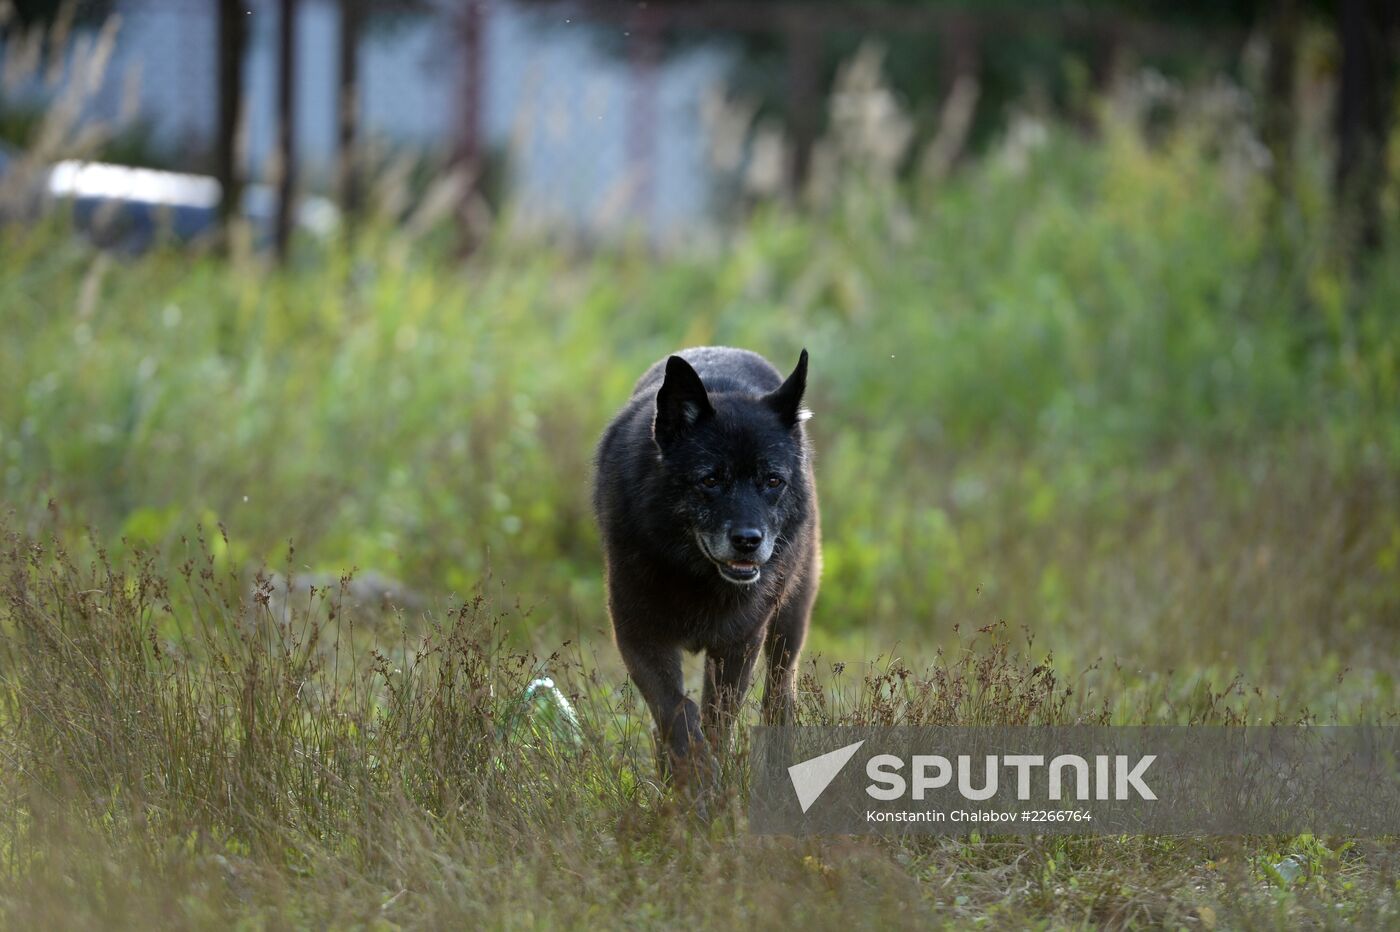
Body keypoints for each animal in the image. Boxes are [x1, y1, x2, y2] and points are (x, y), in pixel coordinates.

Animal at [590, 344, 817, 772]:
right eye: (710, 479)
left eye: (772, 480)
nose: (748, 541)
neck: (696, 577)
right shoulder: (638, 635)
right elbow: (676, 711)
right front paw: (694, 775)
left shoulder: (738, 644)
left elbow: (717, 721)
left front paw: (710, 776)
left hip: (789, 624)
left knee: (779, 694)